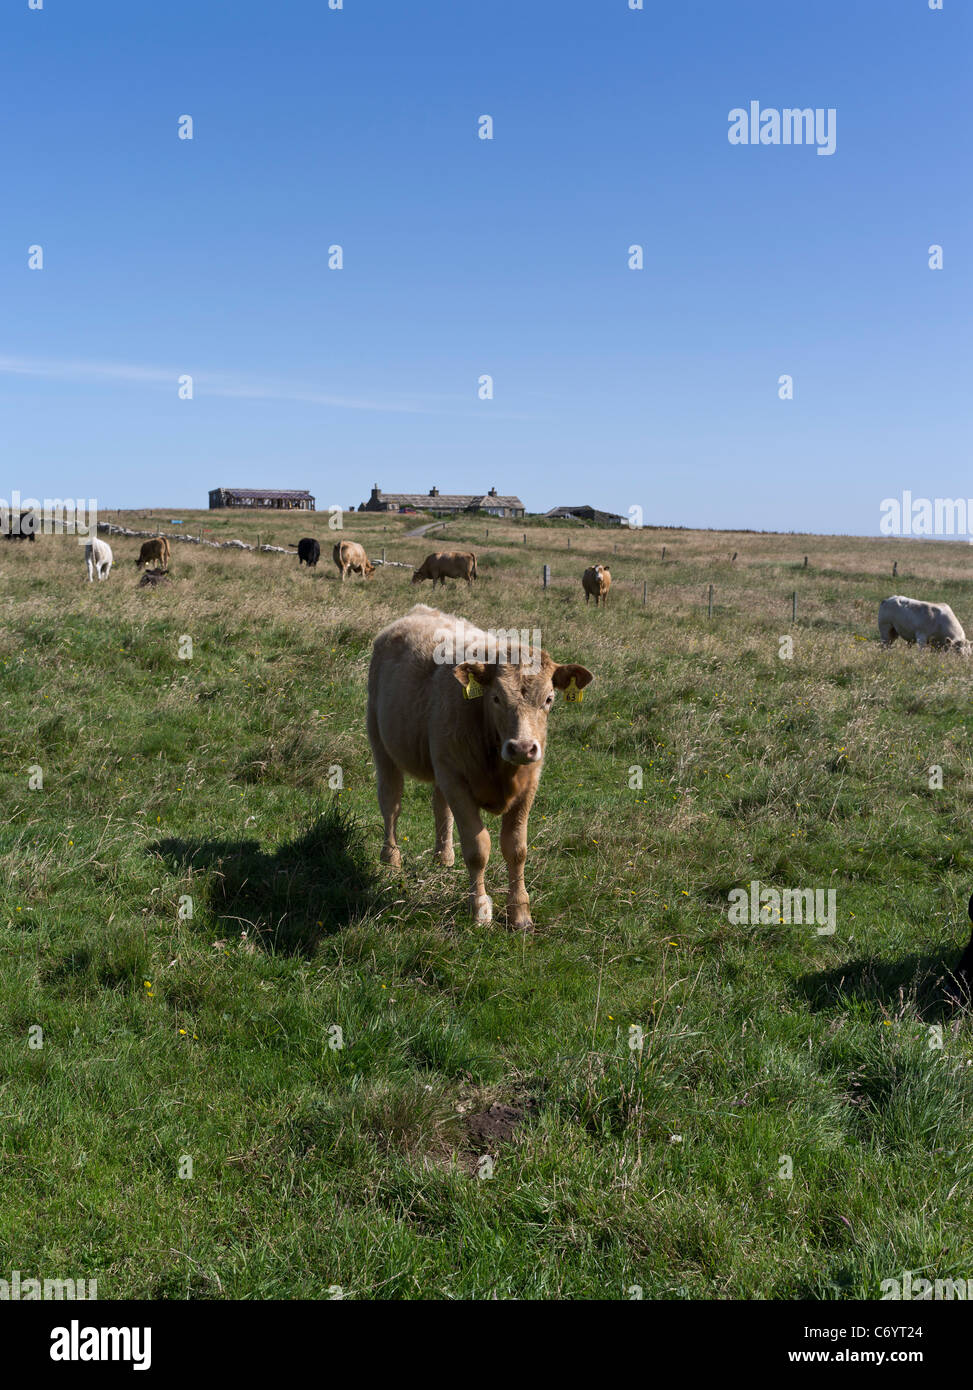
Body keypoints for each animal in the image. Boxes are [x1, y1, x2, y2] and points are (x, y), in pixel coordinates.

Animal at [364, 603, 592, 928]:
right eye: (496, 698)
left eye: (548, 699)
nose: (523, 747)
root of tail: (420, 611)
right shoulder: (457, 781)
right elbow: (477, 849)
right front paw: (480, 908)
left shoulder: (528, 785)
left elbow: (516, 848)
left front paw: (520, 912)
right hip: (381, 741)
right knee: (390, 801)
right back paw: (391, 858)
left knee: (439, 805)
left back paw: (444, 856)